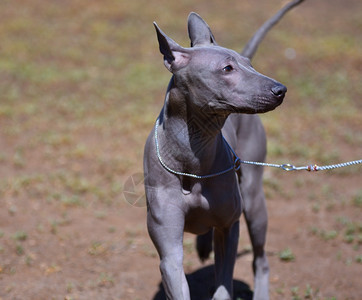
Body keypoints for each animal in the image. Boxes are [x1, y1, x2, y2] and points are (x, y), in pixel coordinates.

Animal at [143, 1, 304, 298]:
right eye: (227, 69)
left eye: (249, 65)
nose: (280, 90)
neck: (192, 157)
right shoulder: (169, 252)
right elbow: (175, 271)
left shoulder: (230, 228)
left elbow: (224, 284)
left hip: (253, 200)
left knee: (260, 258)